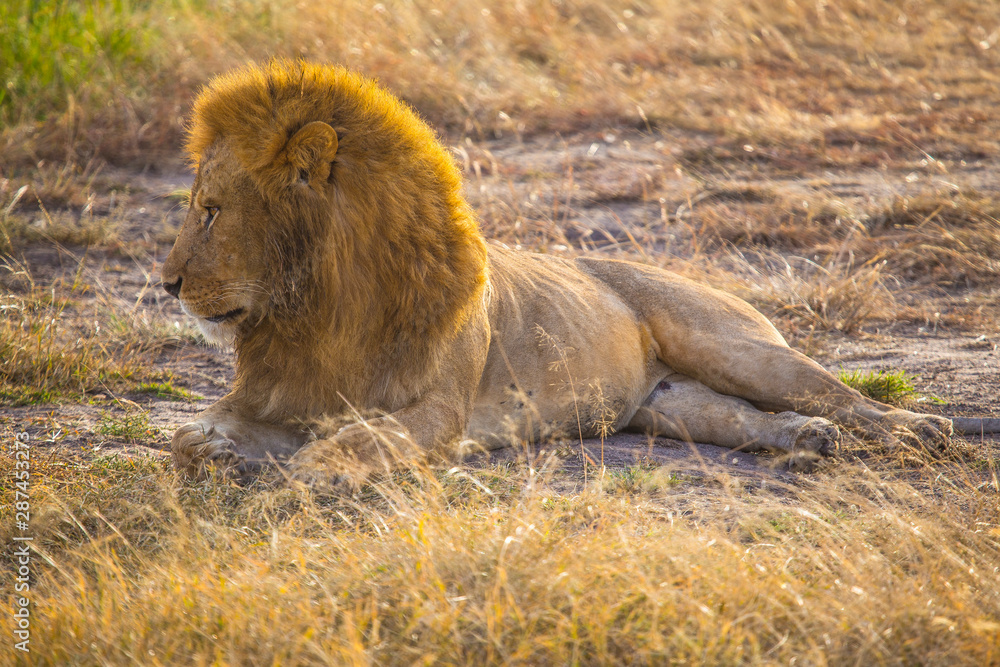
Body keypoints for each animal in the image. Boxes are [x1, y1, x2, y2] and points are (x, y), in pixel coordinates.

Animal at [161, 60, 992, 485]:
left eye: (210, 210)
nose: (167, 283)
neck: (313, 308)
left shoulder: (439, 409)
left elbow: (364, 438)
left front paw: (310, 469)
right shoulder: (278, 389)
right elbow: (189, 434)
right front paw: (220, 452)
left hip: (736, 346)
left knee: (844, 394)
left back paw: (918, 430)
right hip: (668, 404)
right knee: (741, 419)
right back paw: (805, 440)